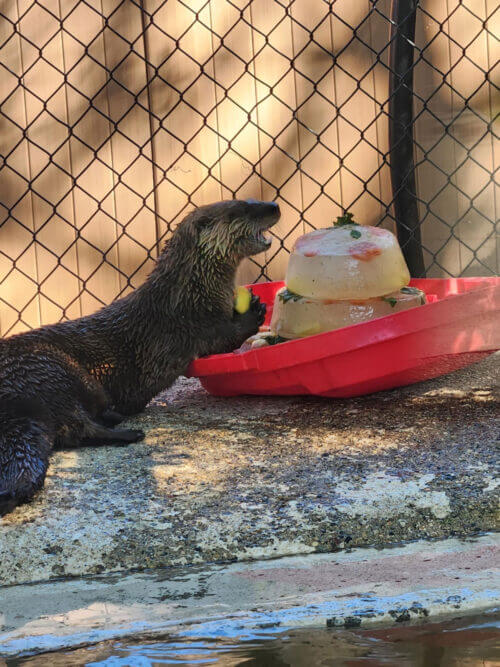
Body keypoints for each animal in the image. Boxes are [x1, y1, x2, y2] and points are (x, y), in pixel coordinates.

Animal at [0, 199, 280, 515]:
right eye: (242, 208)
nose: (274, 206)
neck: (190, 294)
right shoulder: (190, 326)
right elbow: (223, 338)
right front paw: (253, 310)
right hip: (51, 369)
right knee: (76, 426)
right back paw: (128, 430)